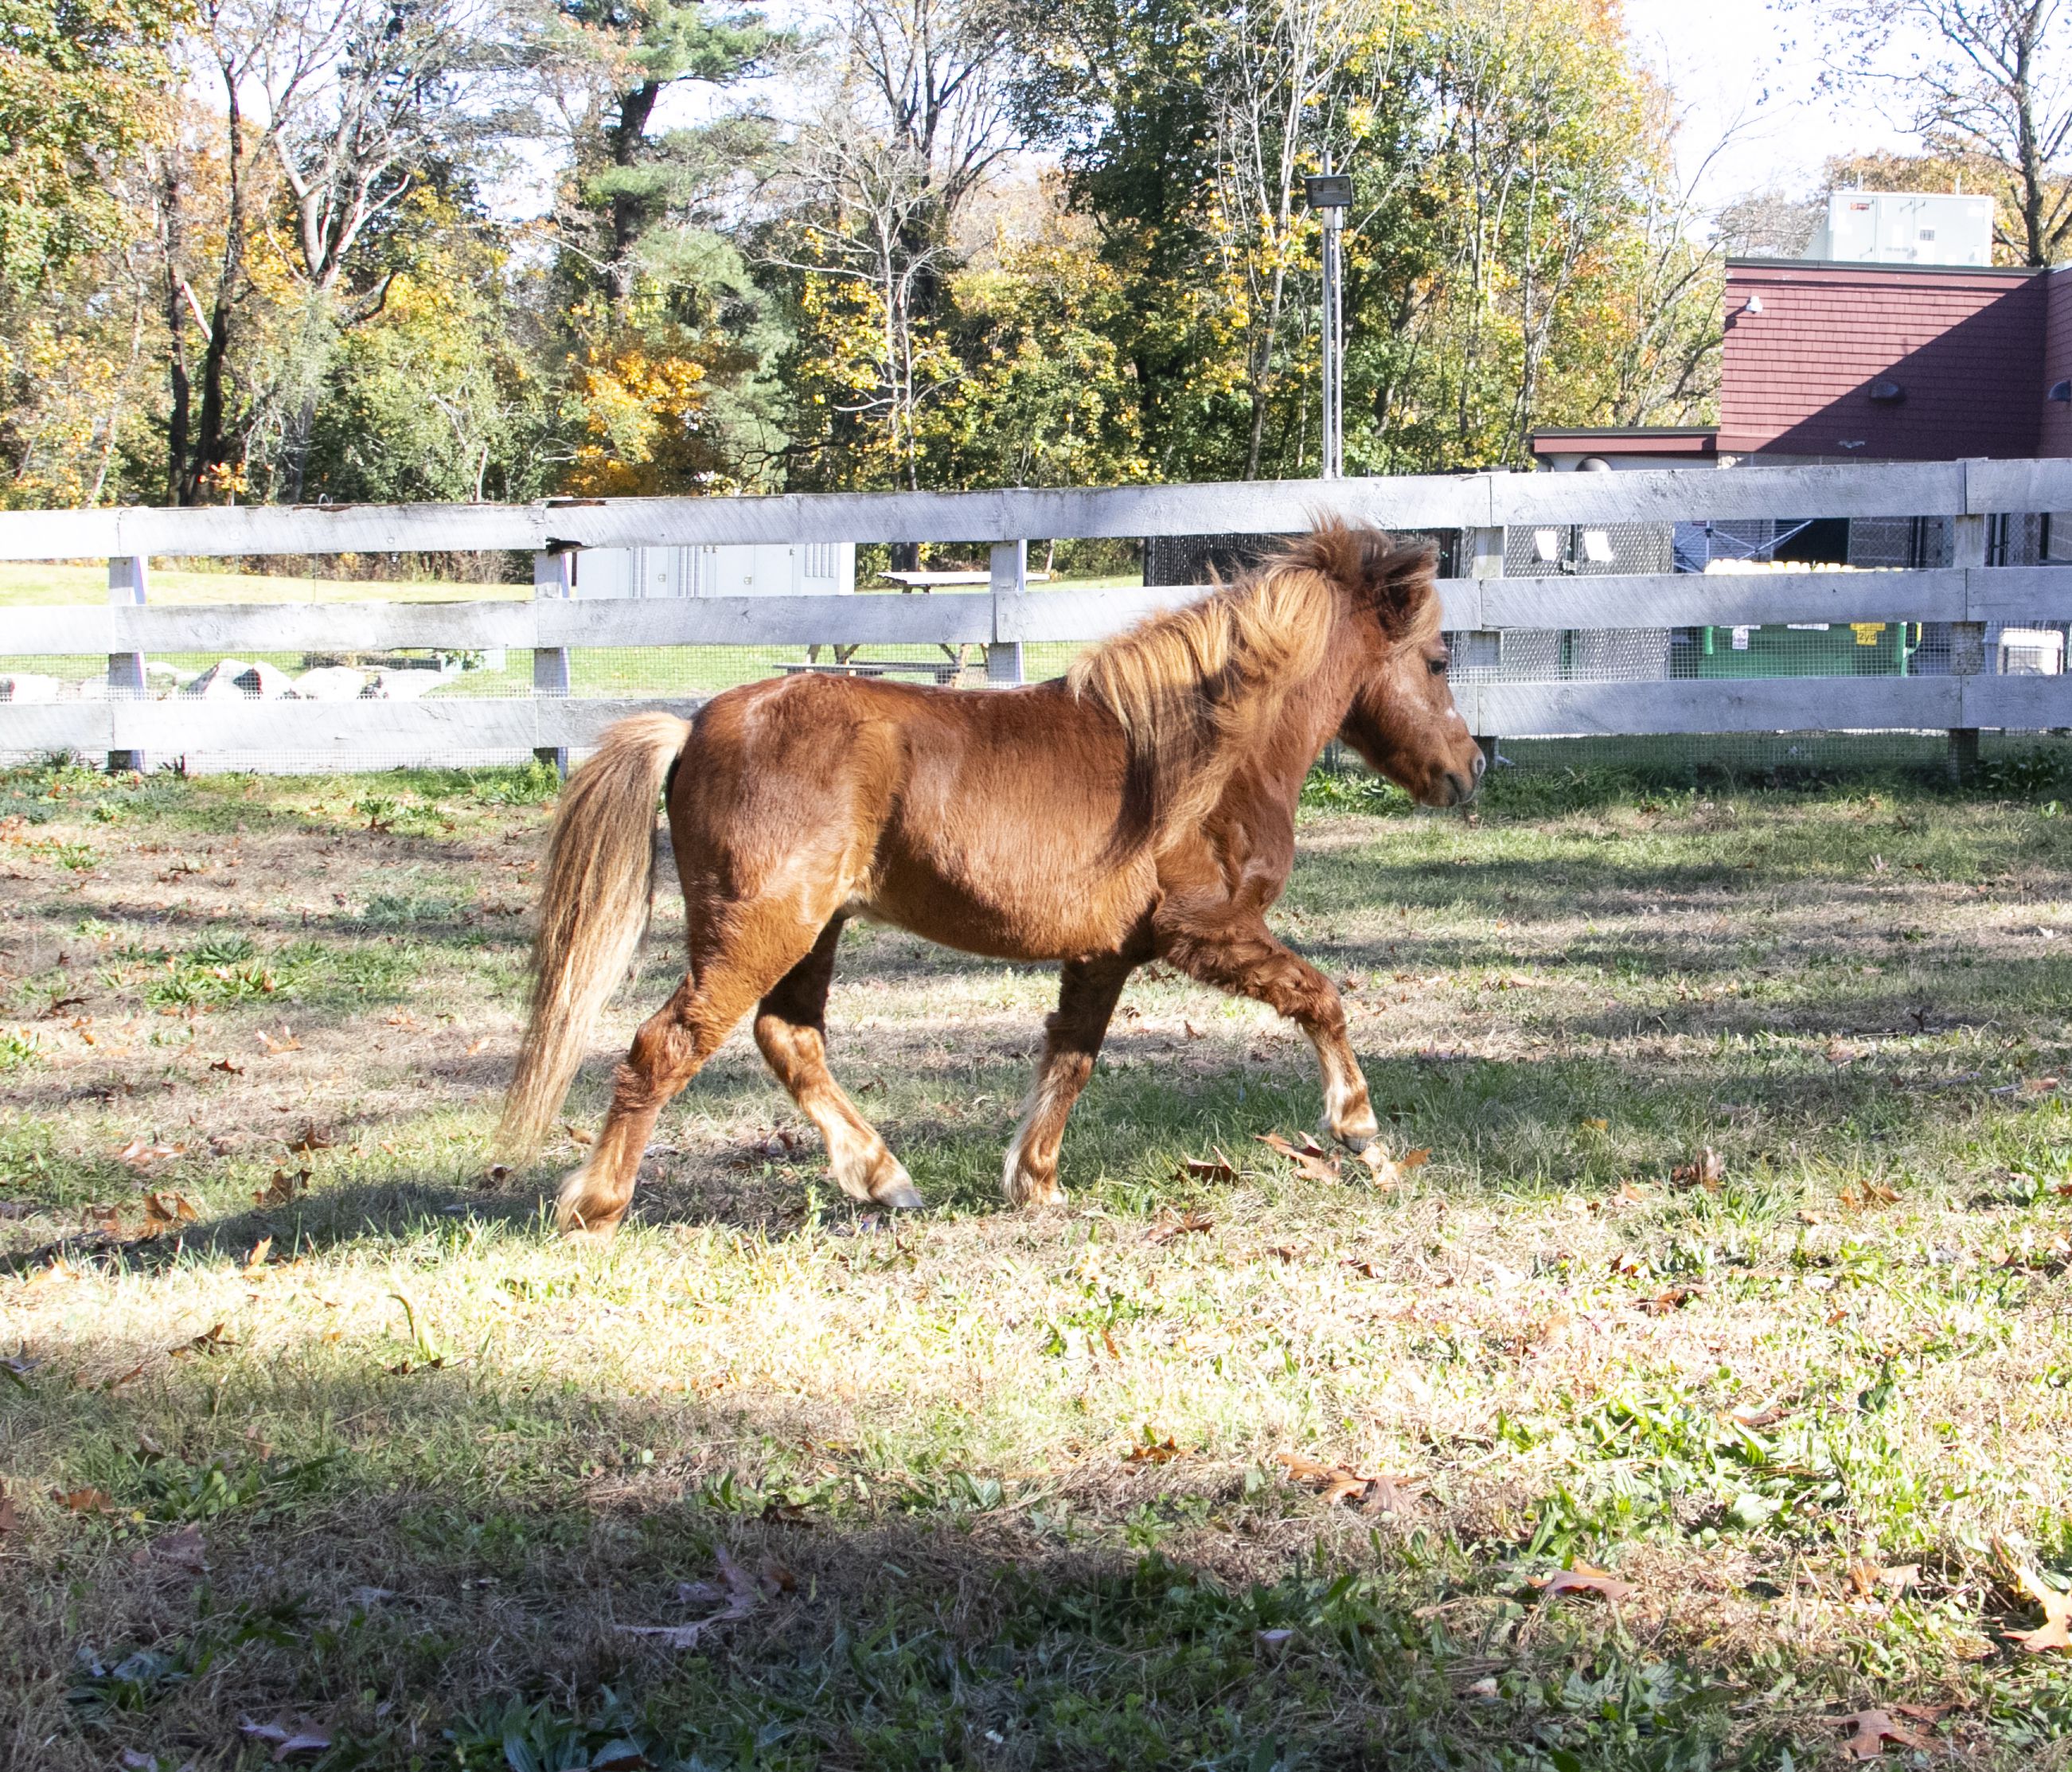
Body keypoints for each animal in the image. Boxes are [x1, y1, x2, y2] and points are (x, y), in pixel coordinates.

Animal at [495, 520, 1483, 1235]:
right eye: (1437, 660)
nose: (1467, 769)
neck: (1202, 758)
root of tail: (693, 727)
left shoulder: (1105, 955)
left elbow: (1071, 1056)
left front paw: (1035, 1184)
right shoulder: (1205, 931)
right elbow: (1321, 999)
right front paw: (1361, 1137)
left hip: (812, 930)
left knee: (788, 1037)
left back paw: (885, 1180)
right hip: (759, 929)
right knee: (664, 1047)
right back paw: (596, 1208)